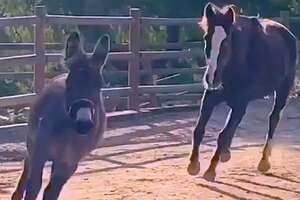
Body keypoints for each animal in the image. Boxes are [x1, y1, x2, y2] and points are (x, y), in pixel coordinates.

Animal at [12, 32, 110, 199]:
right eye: (69, 83)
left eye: (100, 85)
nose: (84, 124)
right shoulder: (39, 153)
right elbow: (34, 186)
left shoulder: (69, 163)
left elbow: (51, 192)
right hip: (32, 144)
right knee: (27, 168)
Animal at [186, 2, 296, 181]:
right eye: (206, 38)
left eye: (226, 42)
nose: (211, 79)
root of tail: (287, 33)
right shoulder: (211, 97)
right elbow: (199, 129)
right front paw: (193, 165)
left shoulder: (240, 102)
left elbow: (222, 135)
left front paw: (210, 170)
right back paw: (226, 153)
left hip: (282, 90)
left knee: (273, 118)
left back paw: (264, 161)